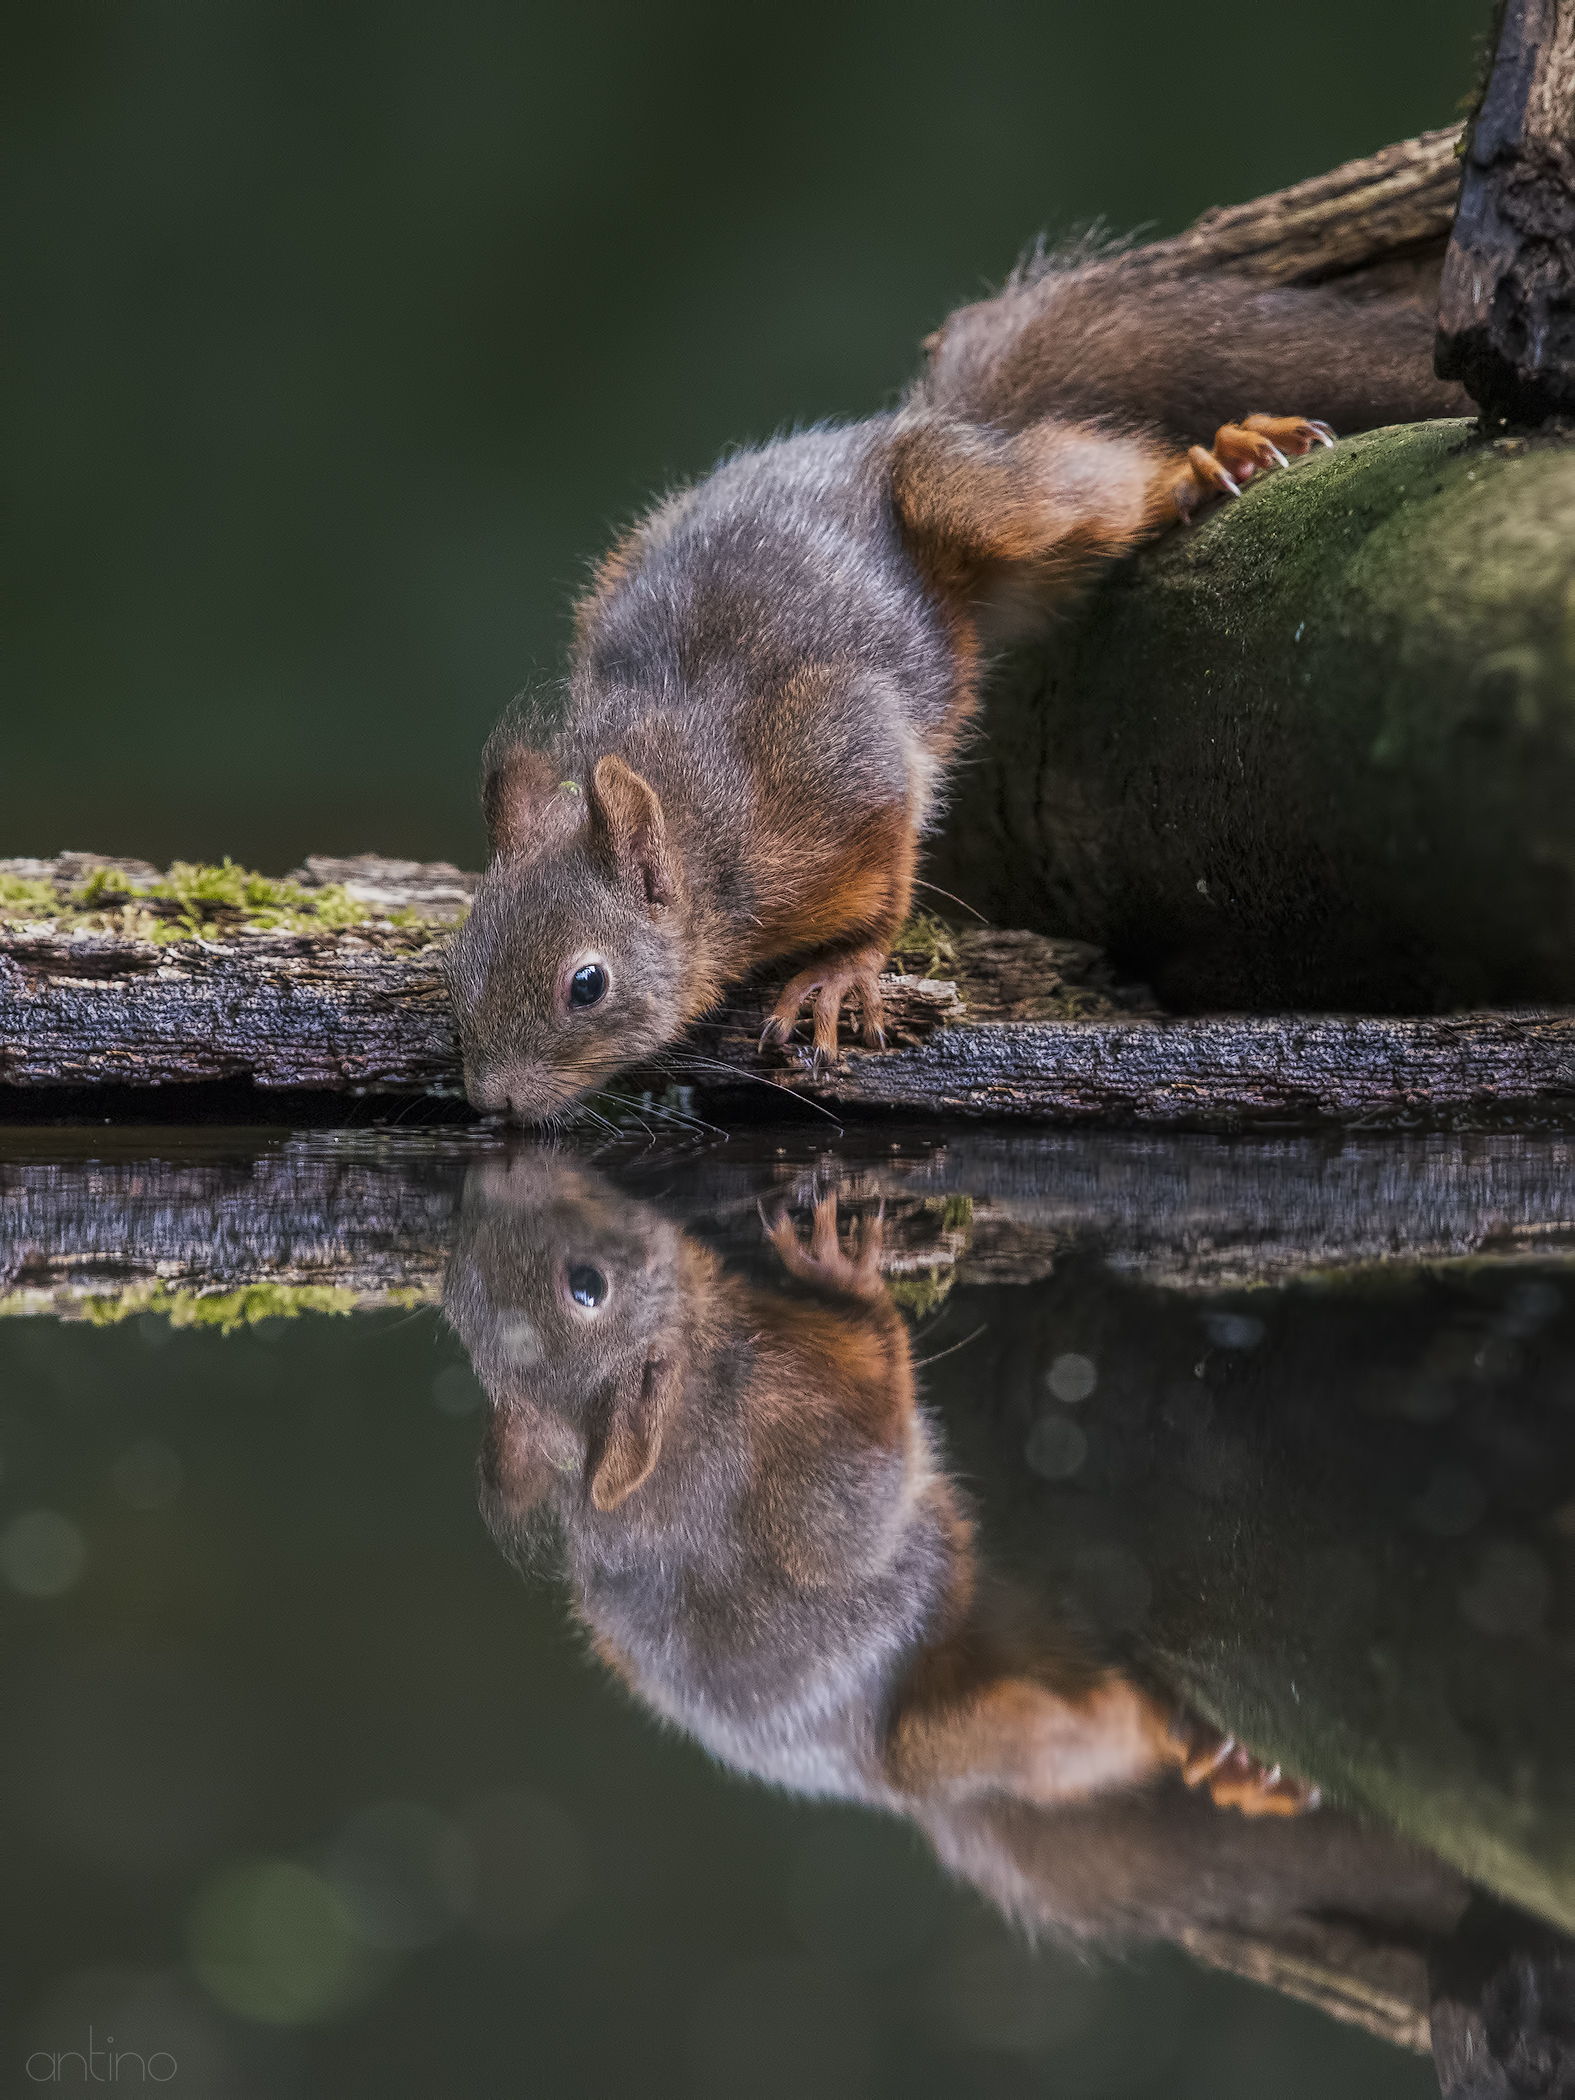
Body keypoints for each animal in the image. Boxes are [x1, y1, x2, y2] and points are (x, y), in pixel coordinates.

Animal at [441, 1153, 1473, 1970]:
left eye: (458, 1296)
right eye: (586, 1287)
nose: (506, 1187)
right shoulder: (798, 1443)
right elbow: (874, 1457)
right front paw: (844, 1274)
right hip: (975, 1731)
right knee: (1098, 1738)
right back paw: (1176, 1735)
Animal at [445, 246, 1469, 1124]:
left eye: (587, 985)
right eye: (459, 959)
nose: (493, 1103)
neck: (707, 845)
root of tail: (898, 426)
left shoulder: (843, 755)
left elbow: (891, 868)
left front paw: (842, 972)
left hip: (970, 504)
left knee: (1087, 483)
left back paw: (1211, 461)